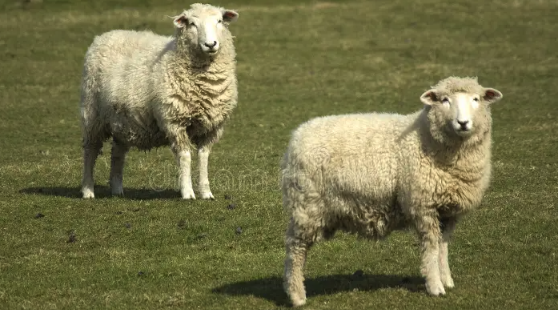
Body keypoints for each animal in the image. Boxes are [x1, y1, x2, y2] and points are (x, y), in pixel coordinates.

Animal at [80, 3, 241, 200]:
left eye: (219, 21)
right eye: (192, 24)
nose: (210, 44)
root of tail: (104, 35)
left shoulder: (212, 126)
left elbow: (204, 157)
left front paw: (206, 192)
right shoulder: (175, 121)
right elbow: (185, 157)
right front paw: (188, 192)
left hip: (122, 120)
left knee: (117, 153)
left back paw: (117, 190)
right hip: (92, 114)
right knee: (90, 151)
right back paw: (88, 190)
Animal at [282, 77, 506, 306]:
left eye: (476, 99)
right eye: (445, 100)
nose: (463, 123)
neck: (425, 137)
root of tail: (297, 136)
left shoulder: (448, 212)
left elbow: (443, 247)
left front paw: (447, 280)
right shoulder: (423, 206)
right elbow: (431, 247)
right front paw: (435, 286)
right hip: (307, 204)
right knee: (295, 250)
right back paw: (297, 295)